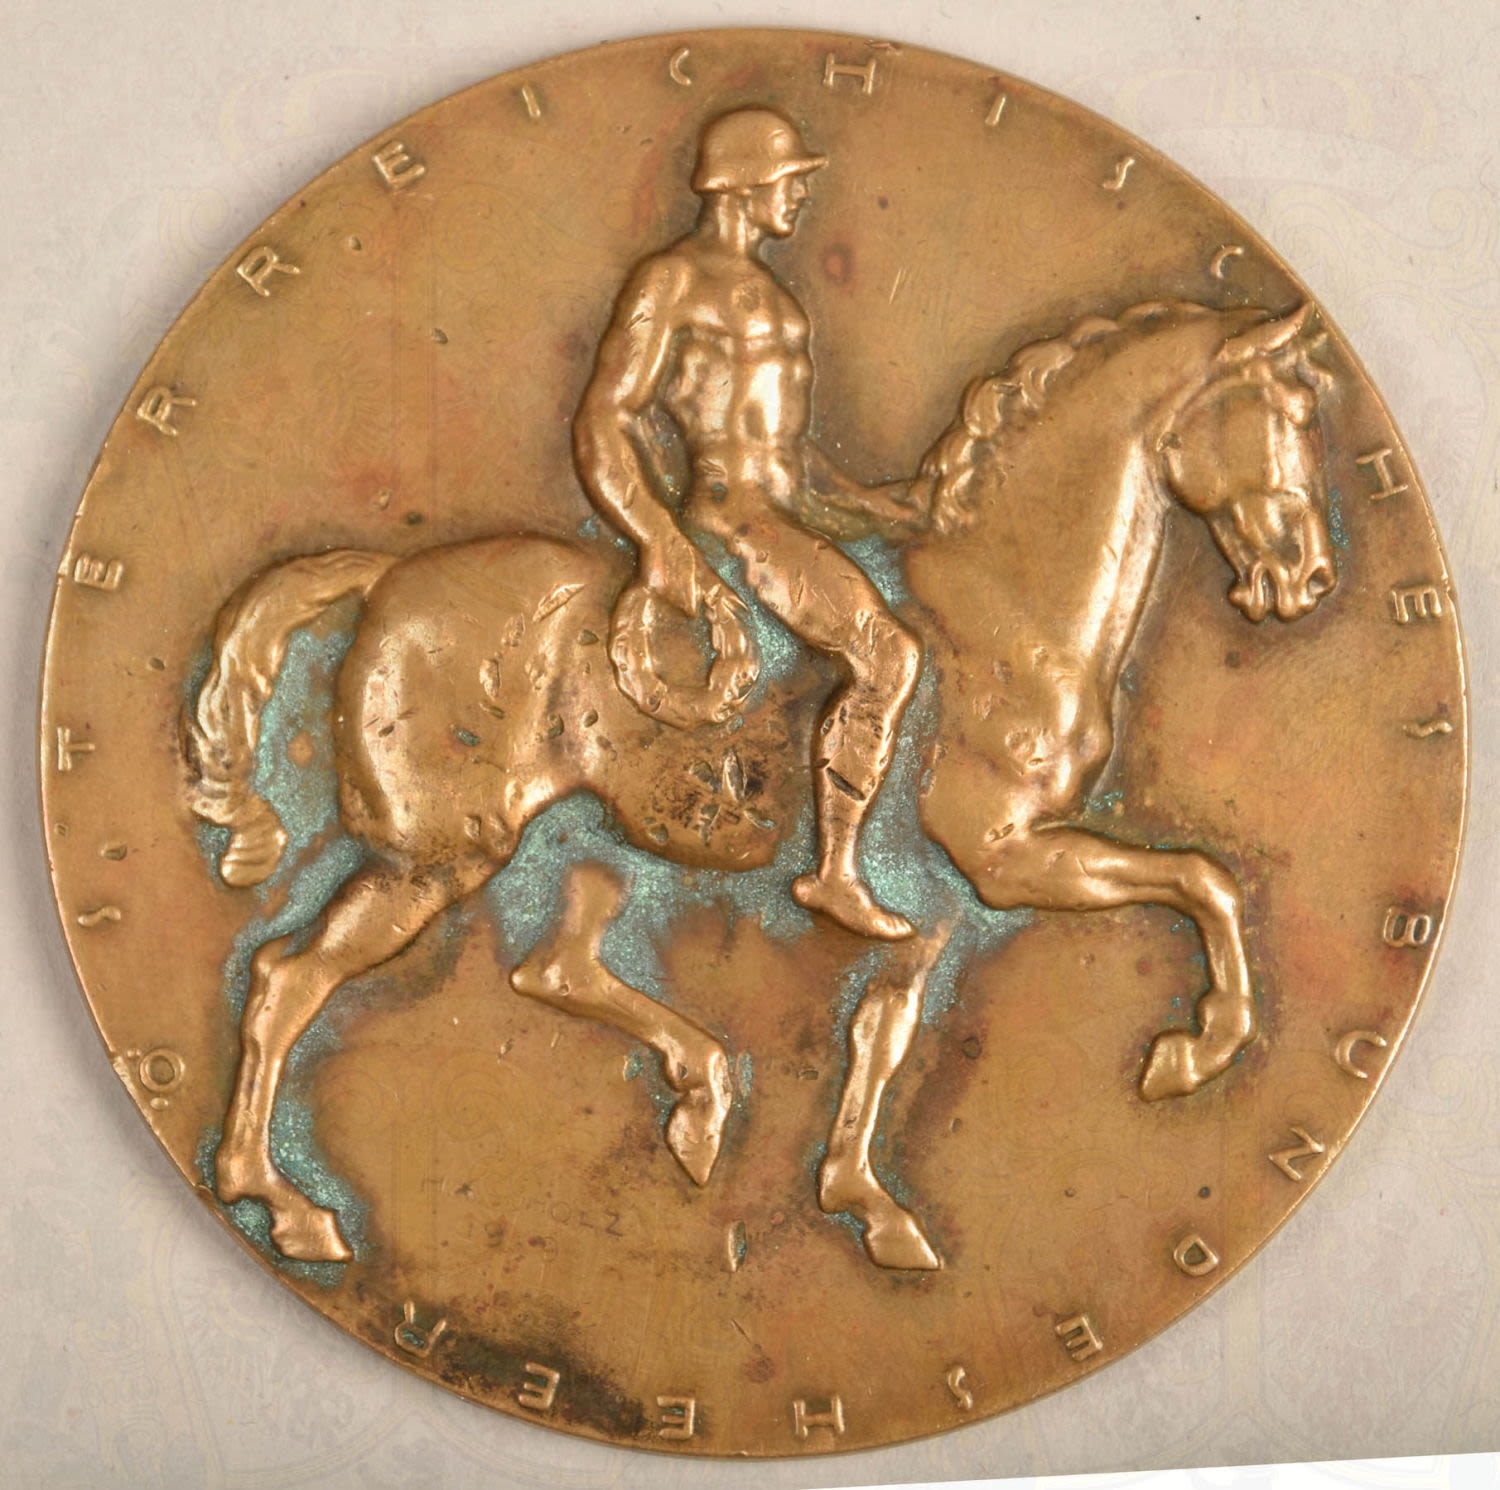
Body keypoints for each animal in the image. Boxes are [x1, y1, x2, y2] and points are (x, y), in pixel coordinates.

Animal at [186, 298, 1335, 1271]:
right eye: (1281, 417)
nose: (1309, 577)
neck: (1006, 610)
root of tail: (386, 577)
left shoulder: (941, 900)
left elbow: (884, 1028)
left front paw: (866, 1202)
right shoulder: (1008, 858)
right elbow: (1203, 880)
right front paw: (1197, 1048)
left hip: (588, 842)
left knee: (553, 970)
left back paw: (701, 1098)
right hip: (435, 855)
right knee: (288, 979)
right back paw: (284, 1202)